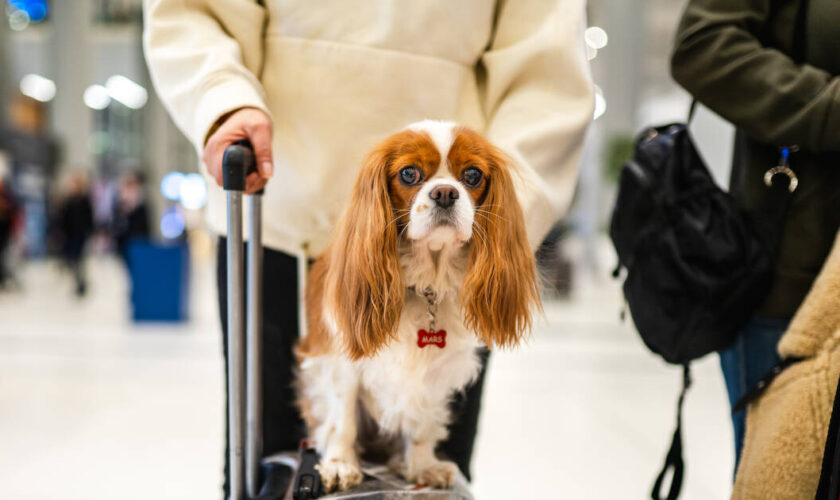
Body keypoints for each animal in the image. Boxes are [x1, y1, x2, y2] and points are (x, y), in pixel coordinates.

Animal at [298, 121, 540, 492]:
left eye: (472, 175)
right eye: (409, 173)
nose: (445, 193)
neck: (427, 282)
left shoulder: (436, 372)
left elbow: (422, 423)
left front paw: (422, 466)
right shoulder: (341, 361)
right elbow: (343, 419)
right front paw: (340, 465)